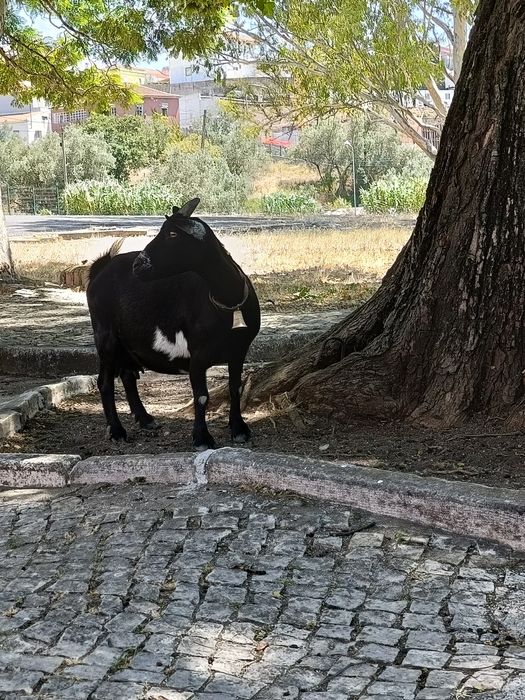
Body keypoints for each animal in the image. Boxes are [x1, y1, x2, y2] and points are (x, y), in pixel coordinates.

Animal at [87, 197, 260, 450]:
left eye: (172, 234)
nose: (138, 265)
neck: (227, 301)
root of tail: (100, 269)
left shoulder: (239, 350)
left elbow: (235, 388)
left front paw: (239, 430)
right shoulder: (197, 354)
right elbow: (201, 396)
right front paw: (202, 438)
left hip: (127, 340)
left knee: (127, 375)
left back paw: (145, 419)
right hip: (105, 334)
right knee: (105, 382)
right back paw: (117, 431)